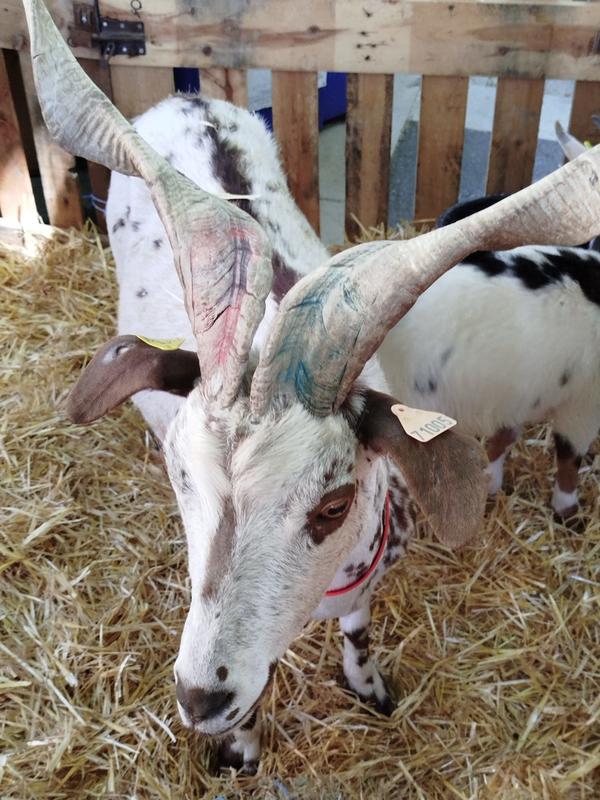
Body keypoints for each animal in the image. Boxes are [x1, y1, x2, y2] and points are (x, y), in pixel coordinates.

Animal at [24, 0, 600, 772]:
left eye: (332, 505)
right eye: (182, 477)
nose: (199, 697)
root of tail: (186, 97)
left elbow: (358, 629)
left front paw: (369, 685)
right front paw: (239, 746)